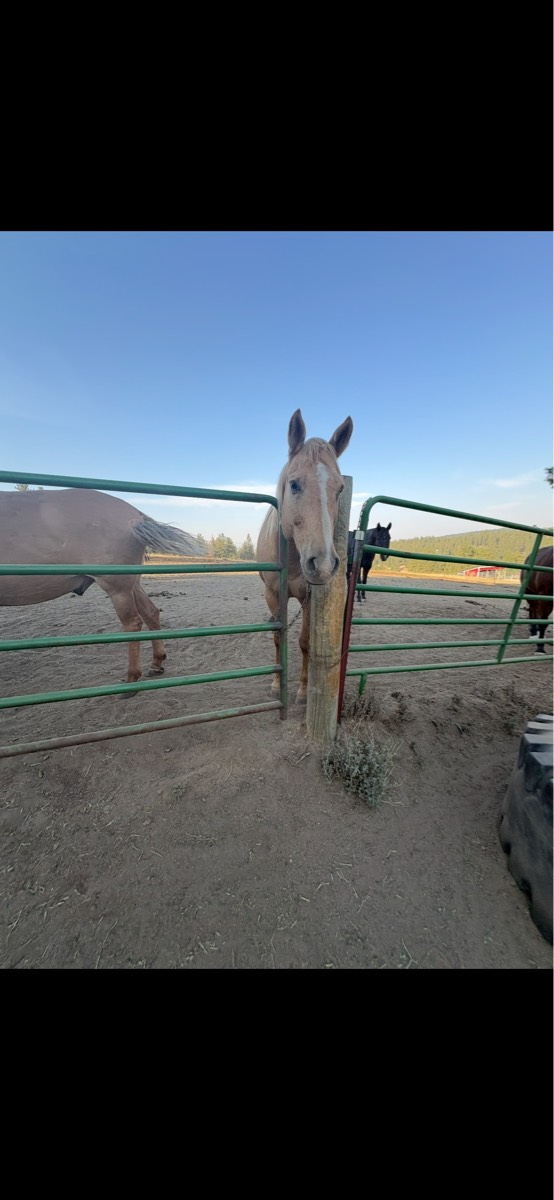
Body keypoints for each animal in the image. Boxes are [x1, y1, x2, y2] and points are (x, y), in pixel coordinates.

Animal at [0, 488, 205, 683]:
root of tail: (135, 516)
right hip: (132, 584)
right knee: (151, 612)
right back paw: (156, 664)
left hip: (118, 588)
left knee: (133, 623)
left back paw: (131, 679)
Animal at [257, 409, 353, 703]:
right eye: (294, 485)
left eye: (339, 489)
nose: (322, 565)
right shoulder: (273, 594)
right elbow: (278, 637)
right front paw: (276, 685)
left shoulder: (308, 597)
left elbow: (304, 643)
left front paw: (302, 690)